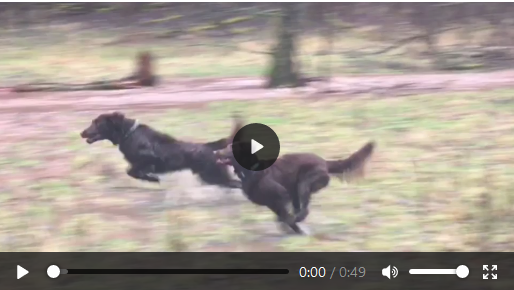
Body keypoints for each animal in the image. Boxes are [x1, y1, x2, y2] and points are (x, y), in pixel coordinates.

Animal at [80, 111, 244, 188]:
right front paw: (150, 178)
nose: (81, 133)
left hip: (213, 176)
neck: (128, 134)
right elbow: (132, 171)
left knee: (237, 184)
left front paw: (152, 178)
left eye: (97, 123)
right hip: (211, 177)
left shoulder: (149, 159)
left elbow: (132, 171)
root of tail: (209, 146)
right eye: (93, 122)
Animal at [214, 142, 374, 234]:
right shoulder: (272, 203)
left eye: (230, 148)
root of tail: (324, 163)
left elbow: (286, 217)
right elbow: (282, 217)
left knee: (304, 210)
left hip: (302, 185)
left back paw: (298, 221)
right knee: (300, 209)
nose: (215, 152)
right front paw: (290, 229)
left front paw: (296, 230)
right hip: (296, 190)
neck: (249, 171)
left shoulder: (280, 195)